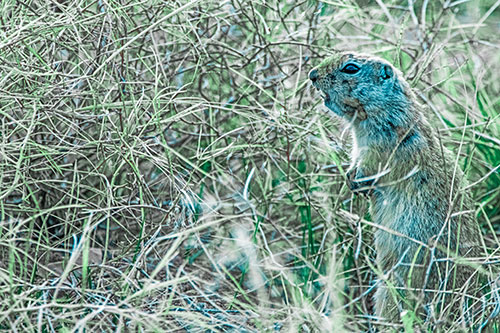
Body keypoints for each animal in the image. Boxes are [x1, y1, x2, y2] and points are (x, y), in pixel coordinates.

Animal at [310, 52, 482, 324]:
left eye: (351, 68)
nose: (312, 74)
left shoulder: (383, 149)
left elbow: (373, 168)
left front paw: (357, 182)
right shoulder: (360, 149)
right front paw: (350, 178)